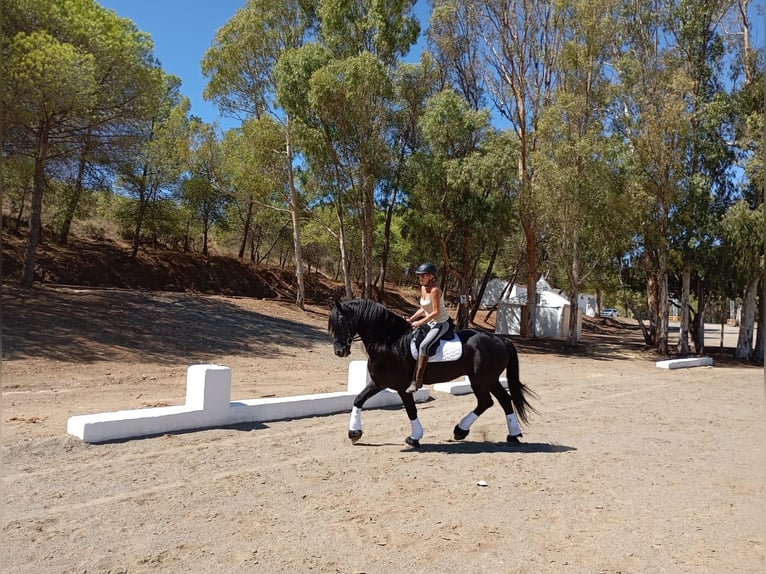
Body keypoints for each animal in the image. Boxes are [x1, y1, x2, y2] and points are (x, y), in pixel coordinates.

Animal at [328, 298, 537, 447]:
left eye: (340, 322)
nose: (339, 351)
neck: (389, 342)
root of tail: (502, 340)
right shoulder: (379, 383)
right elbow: (358, 400)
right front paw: (354, 433)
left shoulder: (402, 387)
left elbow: (411, 410)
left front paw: (414, 437)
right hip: (490, 379)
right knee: (503, 400)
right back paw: (511, 435)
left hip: (481, 380)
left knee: (487, 402)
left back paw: (461, 430)